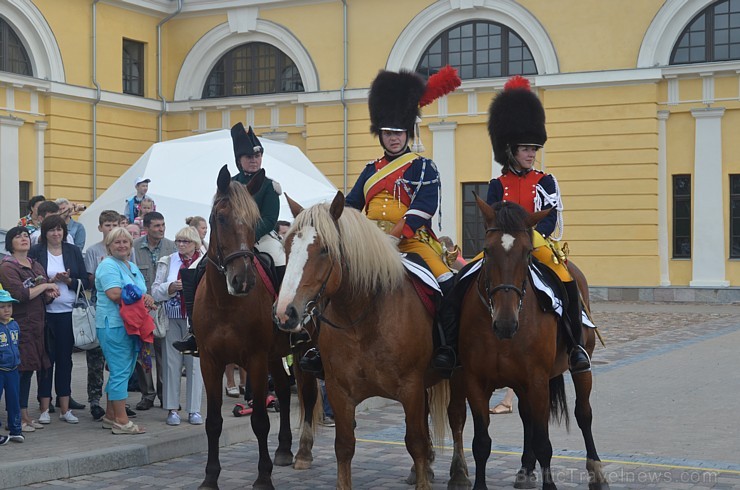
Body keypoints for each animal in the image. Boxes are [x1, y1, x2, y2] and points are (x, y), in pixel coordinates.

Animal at [197, 167, 304, 488]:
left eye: (255, 221)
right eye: (220, 218)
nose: (242, 280)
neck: (225, 304)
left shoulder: (255, 359)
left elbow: (259, 420)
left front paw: (263, 476)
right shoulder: (210, 361)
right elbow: (213, 422)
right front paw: (210, 477)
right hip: (275, 355)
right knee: (283, 391)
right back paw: (284, 449)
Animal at [274, 192, 448, 490]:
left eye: (324, 250)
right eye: (287, 246)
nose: (286, 312)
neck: (362, 319)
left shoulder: (411, 388)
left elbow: (415, 442)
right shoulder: (338, 391)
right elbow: (344, 446)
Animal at [446, 199, 608, 490]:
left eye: (527, 252)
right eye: (487, 250)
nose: (505, 323)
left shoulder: (537, 380)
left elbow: (544, 443)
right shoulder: (475, 381)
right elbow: (481, 443)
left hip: (580, 367)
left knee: (583, 413)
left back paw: (596, 471)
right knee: (526, 416)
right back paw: (525, 468)